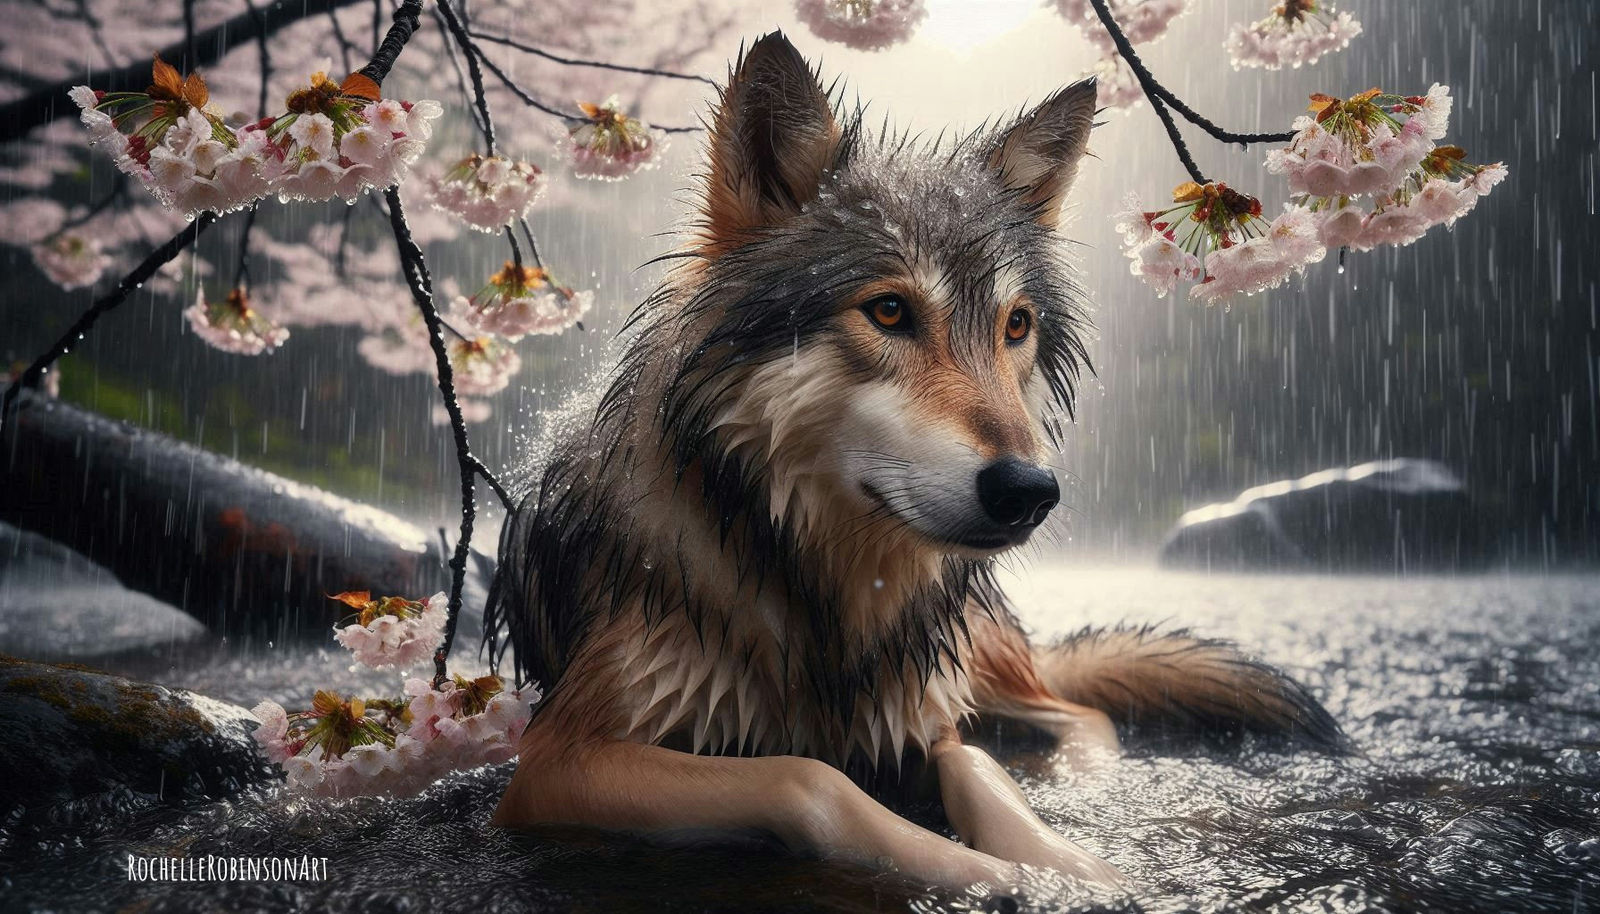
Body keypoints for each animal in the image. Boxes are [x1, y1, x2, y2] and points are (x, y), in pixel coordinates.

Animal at [486, 32, 1342, 887]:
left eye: (1016, 325)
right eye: (890, 311)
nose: (1030, 491)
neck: (823, 592)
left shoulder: (925, 712)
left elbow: (979, 769)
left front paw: (1069, 867)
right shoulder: (559, 758)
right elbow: (808, 778)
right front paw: (995, 879)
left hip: (972, 649)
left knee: (1075, 707)